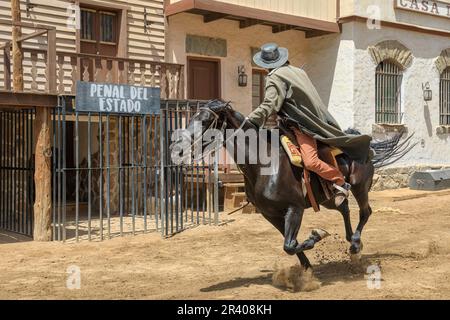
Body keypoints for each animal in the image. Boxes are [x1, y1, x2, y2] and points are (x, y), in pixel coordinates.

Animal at [179, 100, 414, 270]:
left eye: (206, 121)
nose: (180, 148)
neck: (264, 164)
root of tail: (367, 146)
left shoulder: (295, 208)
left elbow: (290, 244)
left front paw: (317, 234)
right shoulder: (270, 214)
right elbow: (289, 244)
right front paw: (306, 267)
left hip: (359, 187)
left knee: (365, 211)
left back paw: (355, 243)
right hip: (327, 198)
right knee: (344, 208)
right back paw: (351, 240)